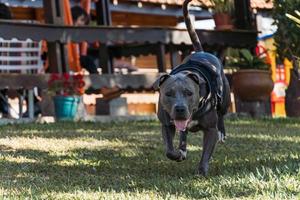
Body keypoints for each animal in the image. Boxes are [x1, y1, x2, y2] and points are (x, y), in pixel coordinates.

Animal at [154, 0, 231, 175]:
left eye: (189, 93)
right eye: (168, 93)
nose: (180, 108)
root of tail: (203, 52)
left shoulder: (210, 129)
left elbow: (206, 153)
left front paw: (202, 171)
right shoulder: (167, 124)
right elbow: (169, 150)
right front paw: (177, 154)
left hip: (225, 101)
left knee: (222, 115)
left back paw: (222, 133)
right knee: (184, 134)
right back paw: (182, 149)